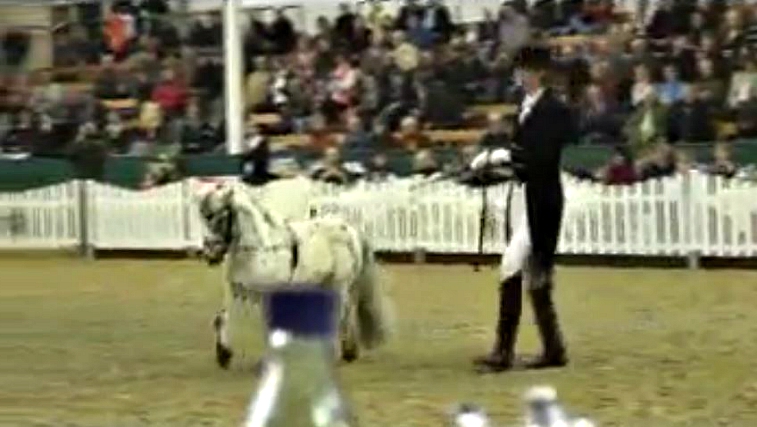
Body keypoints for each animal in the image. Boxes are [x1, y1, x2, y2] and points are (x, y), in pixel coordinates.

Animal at [194, 180, 393, 369]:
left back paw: (338, 352)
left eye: (217, 216)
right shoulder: (237, 292)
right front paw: (223, 354)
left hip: (339, 285)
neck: (260, 250)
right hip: (325, 284)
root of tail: (349, 229)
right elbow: (222, 318)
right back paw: (342, 351)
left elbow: (267, 326)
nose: (210, 253)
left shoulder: (264, 294)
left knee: (341, 314)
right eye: (203, 216)